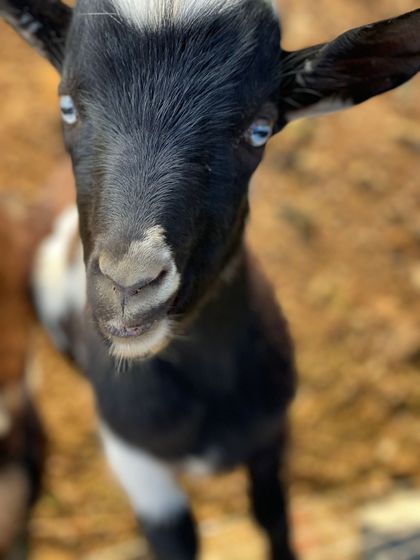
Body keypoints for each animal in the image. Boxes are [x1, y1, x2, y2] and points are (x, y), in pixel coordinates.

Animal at [1, 0, 418, 556]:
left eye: (259, 130)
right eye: (67, 106)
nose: (130, 286)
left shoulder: (271, 435)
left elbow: (273, 517)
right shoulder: (135, 463)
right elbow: (176, 541)